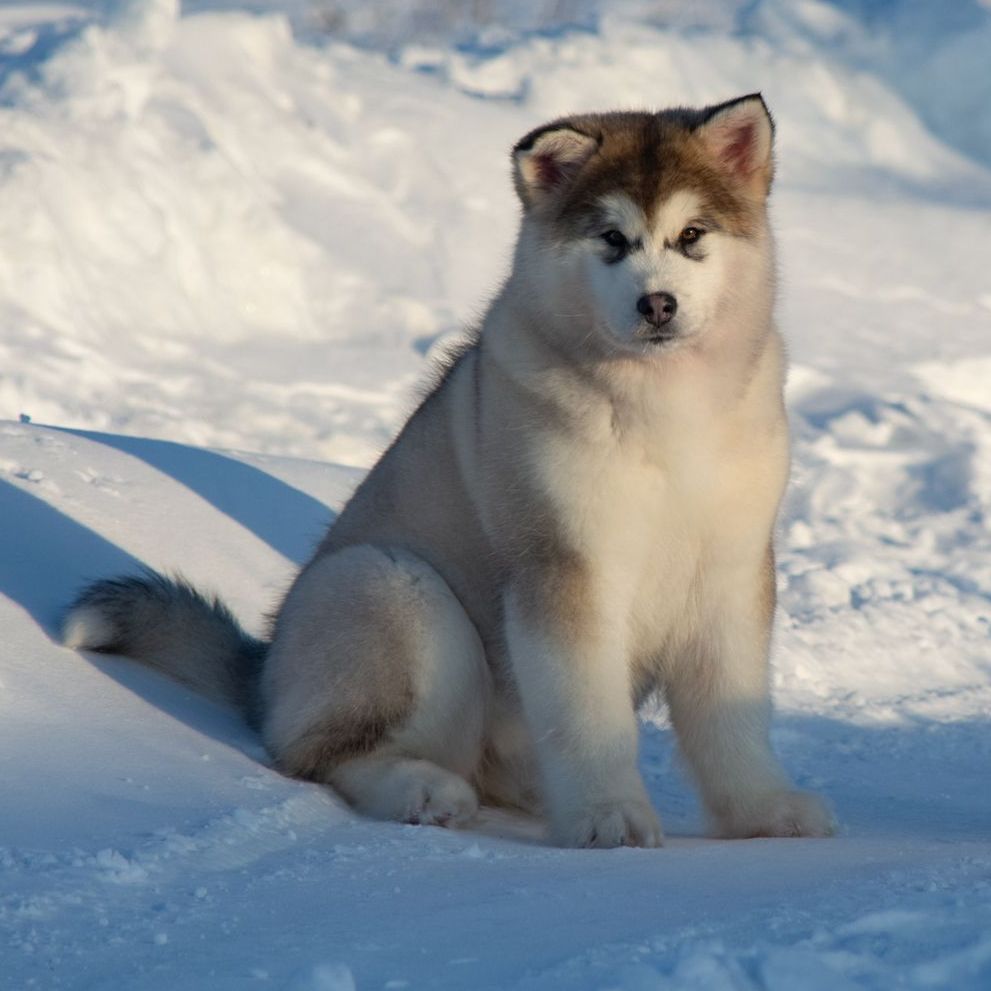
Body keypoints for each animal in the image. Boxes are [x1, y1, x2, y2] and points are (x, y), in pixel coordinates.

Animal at [64, 97, 836, 848]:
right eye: (612, 239)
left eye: (692, 234)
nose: (657, 304)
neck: (664, 410)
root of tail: (266, 670)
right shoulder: (563, 567)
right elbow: (587, 715)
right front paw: (607, 815)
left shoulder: (731, 566)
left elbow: (732, 715)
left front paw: (763, 812)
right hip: (391, 587)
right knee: (323, 753)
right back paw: (424, 791)